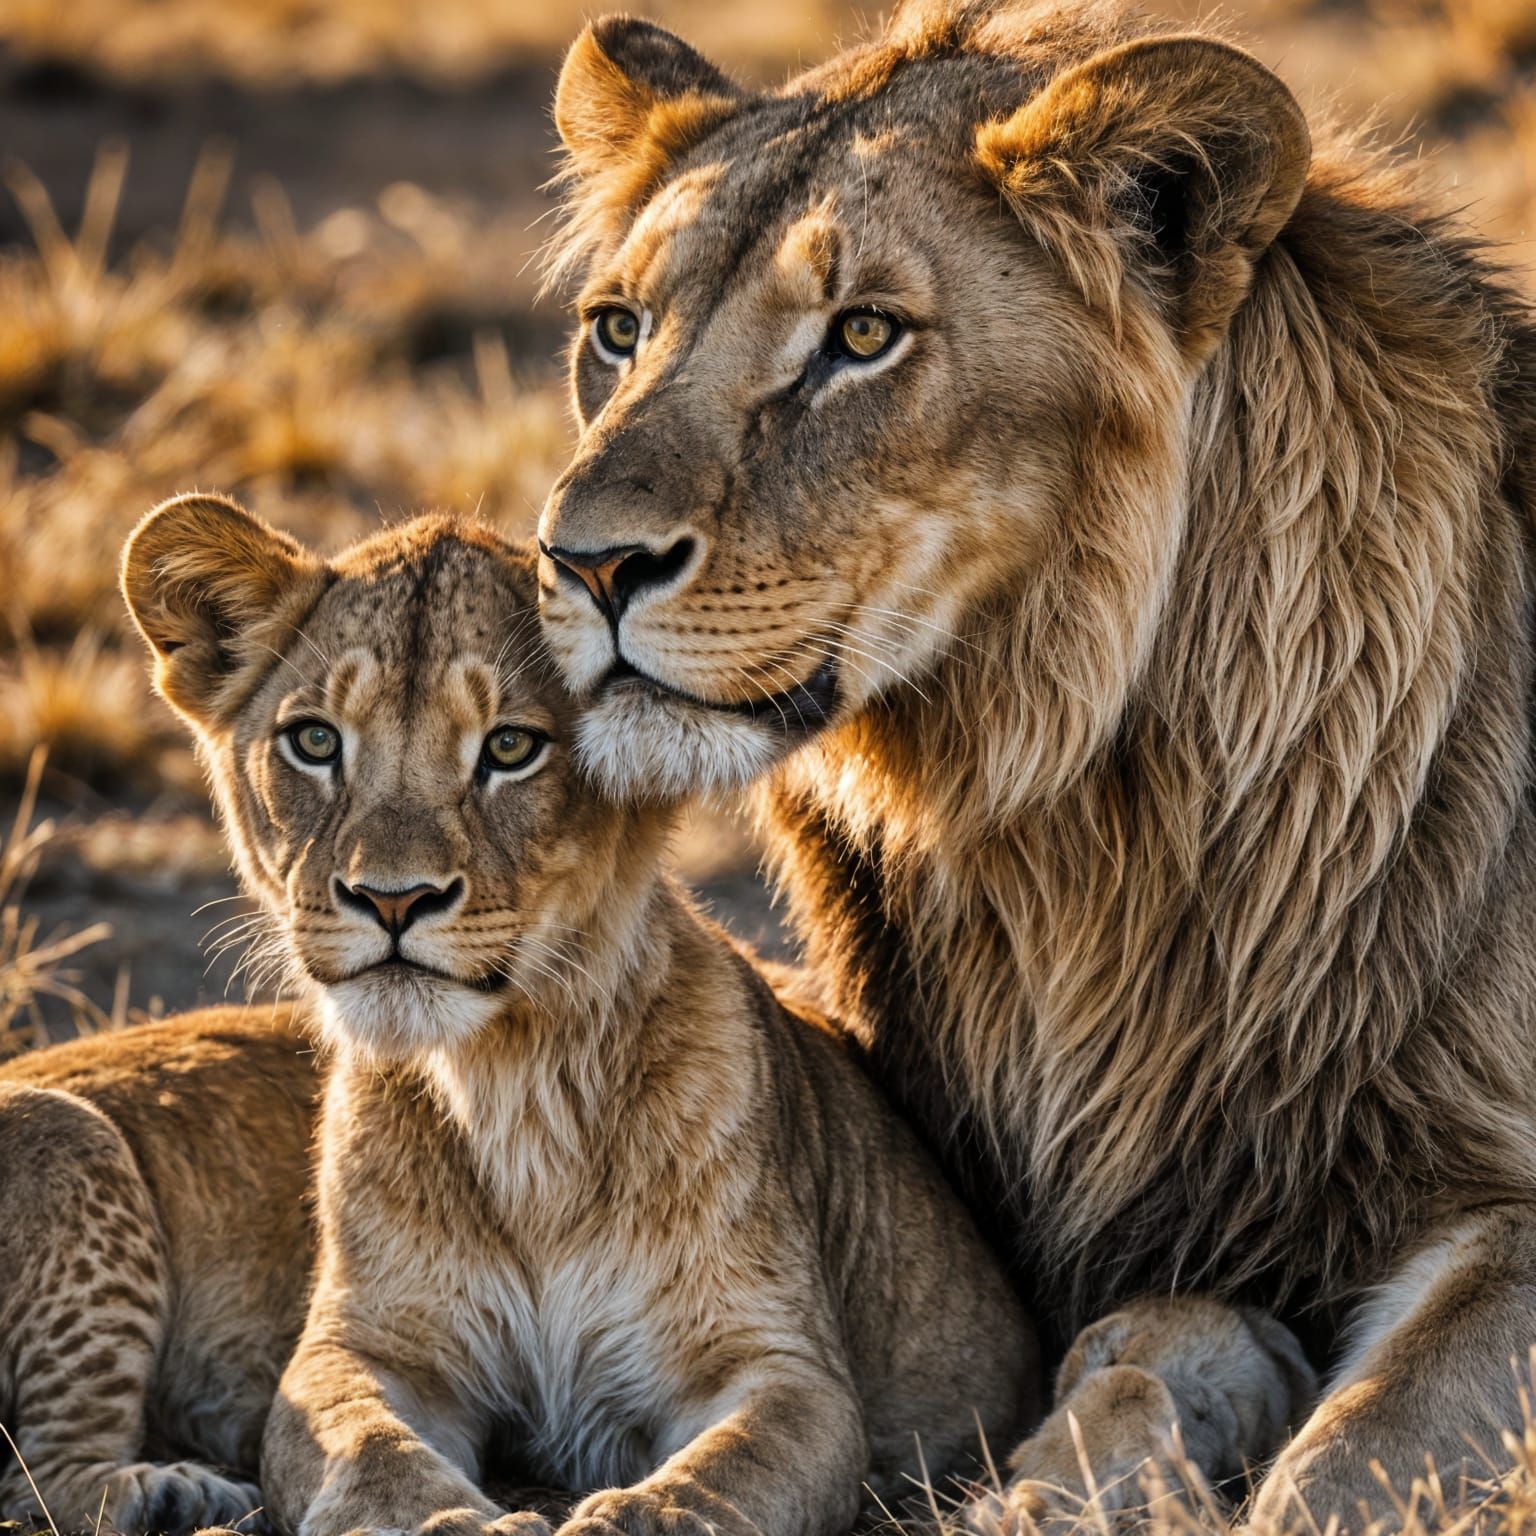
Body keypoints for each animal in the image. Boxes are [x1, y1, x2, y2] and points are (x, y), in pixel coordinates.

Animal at [114, 495, 1036, 1536]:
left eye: (510, 748)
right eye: (314, 742)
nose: (393, 899)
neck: (516, 1092)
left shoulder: (784, 1369)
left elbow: (713, 1484)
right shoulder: (363, 1349)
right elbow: (373, 1460)